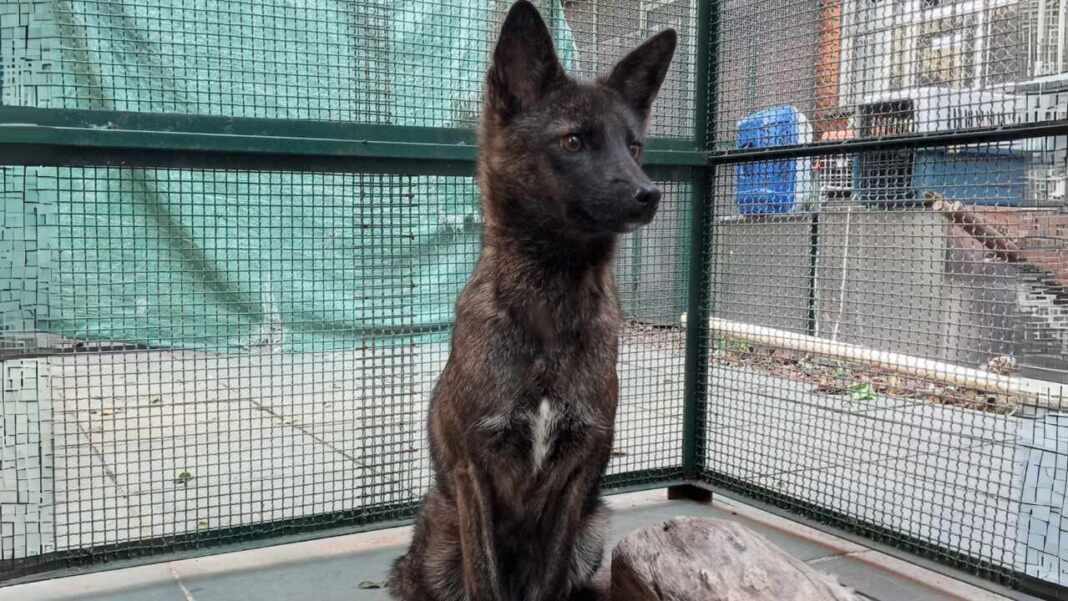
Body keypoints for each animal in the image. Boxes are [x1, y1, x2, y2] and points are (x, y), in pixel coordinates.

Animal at [387, 2, 676, 601]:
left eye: (634, 146)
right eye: (573, 141)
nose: (649, 193)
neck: (549, 302)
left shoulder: (576, 477)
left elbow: (549, 578)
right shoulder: (474, 473)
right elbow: (485, 579)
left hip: (595, 525)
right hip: (439, 533)